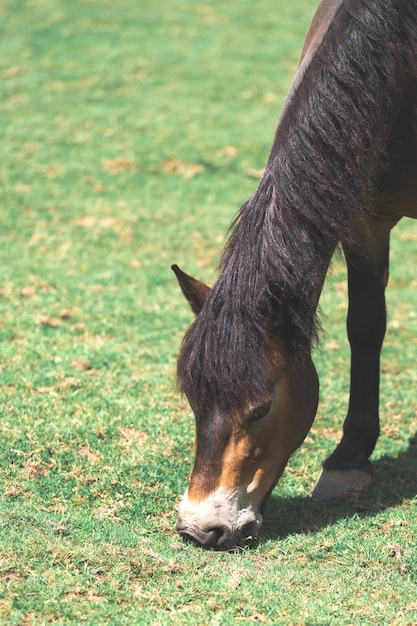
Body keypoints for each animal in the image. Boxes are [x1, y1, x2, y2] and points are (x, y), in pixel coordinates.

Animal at [171, 0, 414, 544]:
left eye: (261, 408)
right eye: (193, 400)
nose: (201, 528)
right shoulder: (364, 217)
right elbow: (365, 327)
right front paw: (349, 459)